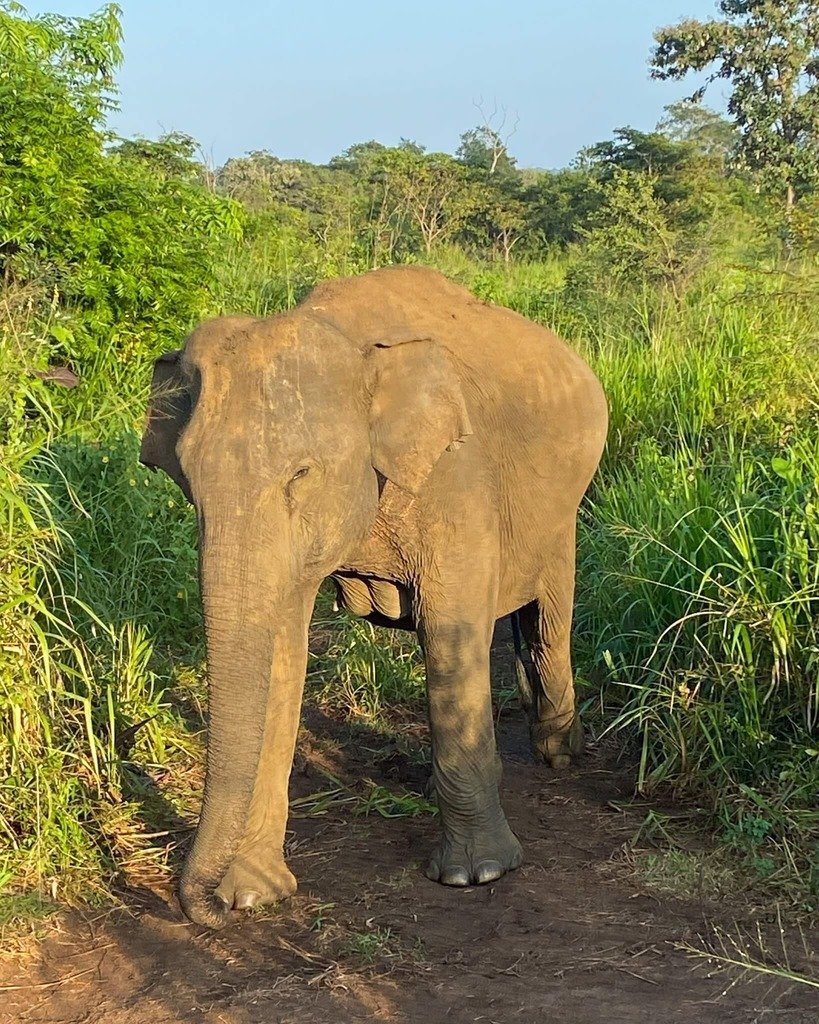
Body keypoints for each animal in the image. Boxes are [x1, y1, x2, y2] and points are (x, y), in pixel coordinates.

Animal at [139, 264, 606, 929]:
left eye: (301, 475)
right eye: (186, 478)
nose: (210, 908)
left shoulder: (456, 475)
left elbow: (453, 634)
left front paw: (476, 875)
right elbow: (281, 652)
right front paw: (254, 892)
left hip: (564, 500)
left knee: (547, 614)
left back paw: (558, 752)